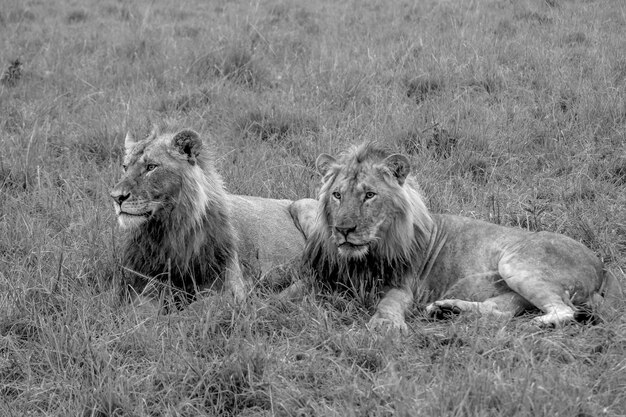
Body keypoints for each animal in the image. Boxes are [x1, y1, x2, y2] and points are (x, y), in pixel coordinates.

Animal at [109, 127, 310, 306]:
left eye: (151, 167)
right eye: (125, 167)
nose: (116, 197)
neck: (171, 230)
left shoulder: (232, 290)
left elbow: (195, 309)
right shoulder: (146, 282)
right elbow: (141, 311)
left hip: (304, 205)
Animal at [290, 141, 608, 330]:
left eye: (369, 195)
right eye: (337, 195)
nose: (344, 230)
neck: (363, 258)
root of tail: (601, 267)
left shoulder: (403, 285)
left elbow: (388, 304)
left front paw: (384, 327)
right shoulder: (322, 276)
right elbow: (290, 292)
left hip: (516, 264)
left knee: (564, 310)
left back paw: (533, 325)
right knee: (499, 312)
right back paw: (447, 309)